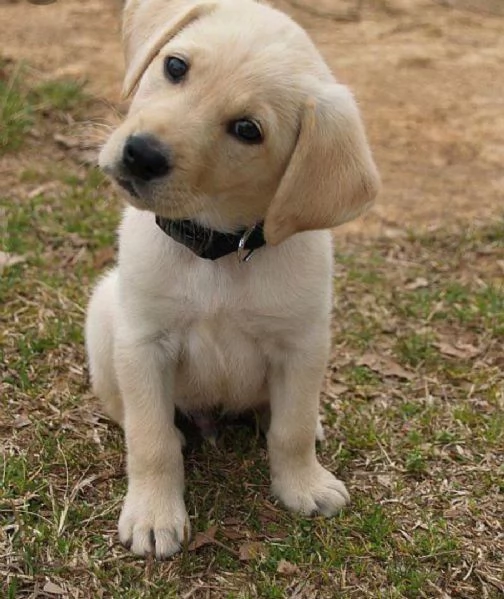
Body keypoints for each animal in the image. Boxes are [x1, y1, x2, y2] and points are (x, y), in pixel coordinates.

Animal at [85, 0, 378, 560]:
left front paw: (303, 485)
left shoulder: (301, 344)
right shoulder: (144, 342)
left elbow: (291, 429)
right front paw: (154, 514)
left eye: (247, 129)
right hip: (103, 314)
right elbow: (151, 440)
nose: (141, 154)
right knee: (126, 411)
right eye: (175, 66)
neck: (217, 251)